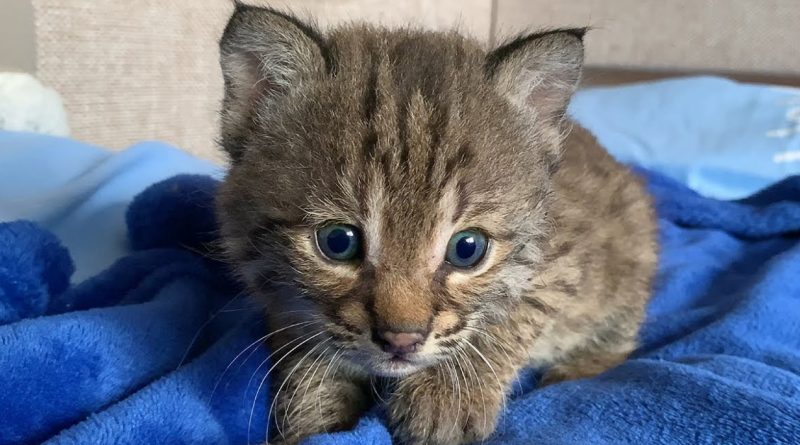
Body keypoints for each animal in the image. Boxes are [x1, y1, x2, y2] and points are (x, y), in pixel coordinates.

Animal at [214, 4, 656, 444]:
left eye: (467, 249)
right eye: (337, 241)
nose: (401, 340)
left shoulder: (562, 259)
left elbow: (510, 316)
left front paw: (446, 397)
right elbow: (306, 348)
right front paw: (312, 416)